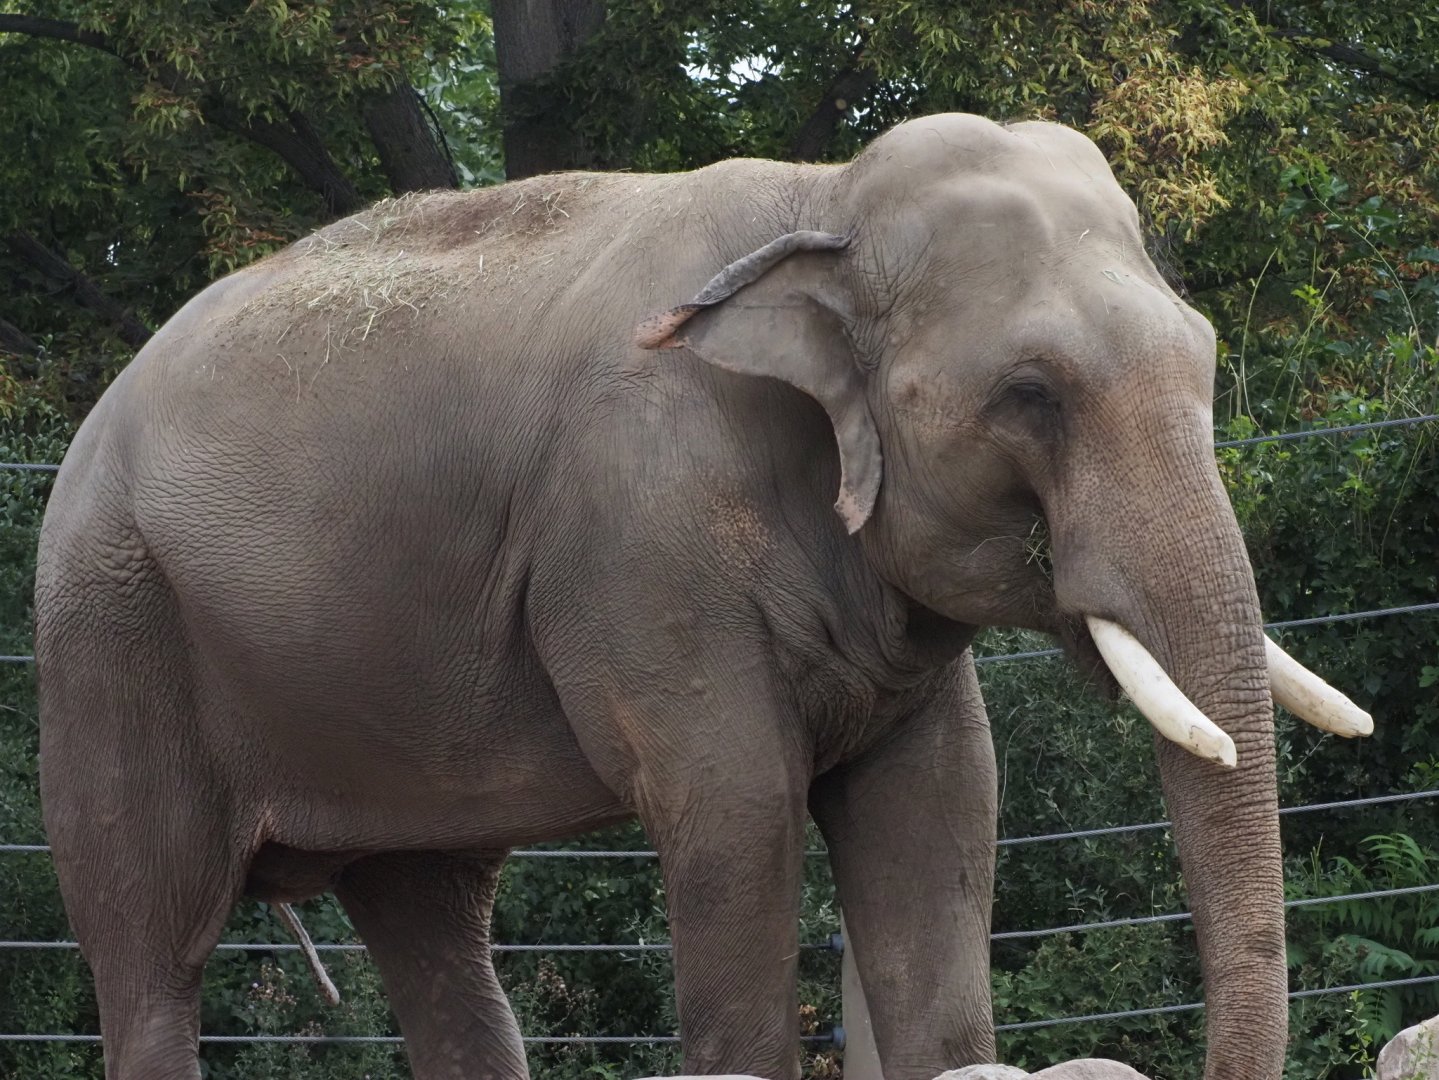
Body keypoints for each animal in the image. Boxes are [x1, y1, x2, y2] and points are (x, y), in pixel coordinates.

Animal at [33, 112, 1371, 1080]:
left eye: (1203, 355)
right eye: (1029, 394)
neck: (822, 201)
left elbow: (942, 802)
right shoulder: (639, 531)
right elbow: (735, 798)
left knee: (431, 921)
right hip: (108, 635)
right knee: (150, 951)